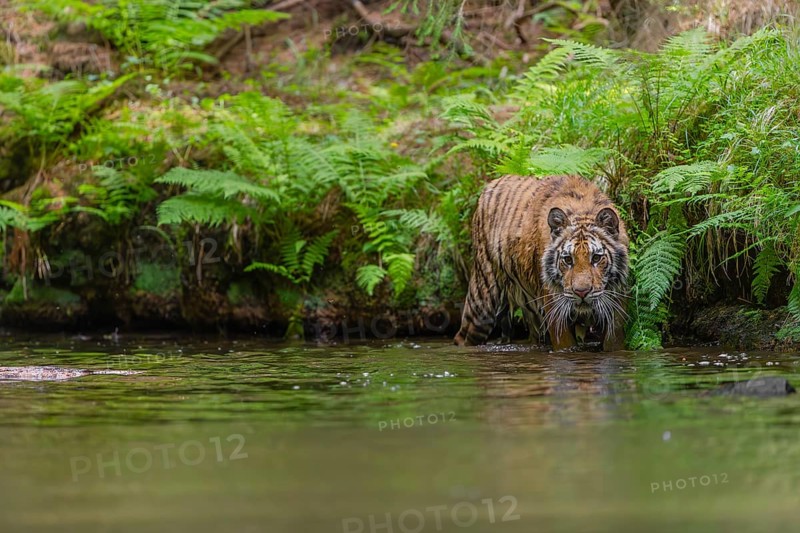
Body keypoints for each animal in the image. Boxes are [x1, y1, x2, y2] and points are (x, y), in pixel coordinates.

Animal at [454, 175, 630, 351]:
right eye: (568, 259)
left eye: (596, 258)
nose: (581, 292)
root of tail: (490, 184)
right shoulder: (555, 309)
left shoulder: (616, 303)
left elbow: (614, 342)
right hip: (482, 301)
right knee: (462, 337)